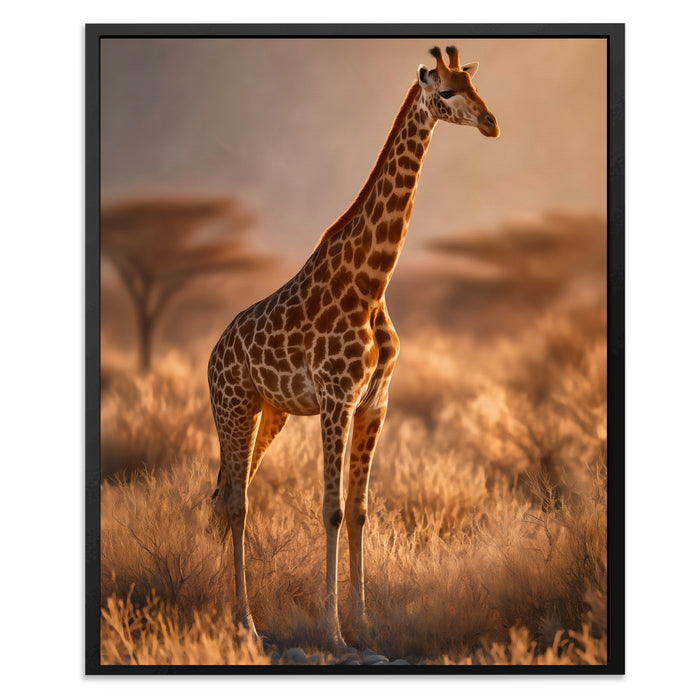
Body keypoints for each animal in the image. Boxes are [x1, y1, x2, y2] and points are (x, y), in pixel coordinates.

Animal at [208, 46, 499, 651]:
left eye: (473, 85)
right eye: (446, 92)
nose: (491, 123)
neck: (373, 282)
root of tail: (211, 356)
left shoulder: (374, 403)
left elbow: (362, 510)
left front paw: (365, 625)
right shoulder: (337, 399)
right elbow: (332, 509)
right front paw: (333, 632)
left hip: (269, 413)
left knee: (229, 492)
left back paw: (234, 613)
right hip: (234, 407)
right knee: (235, 502)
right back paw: (244, 621)